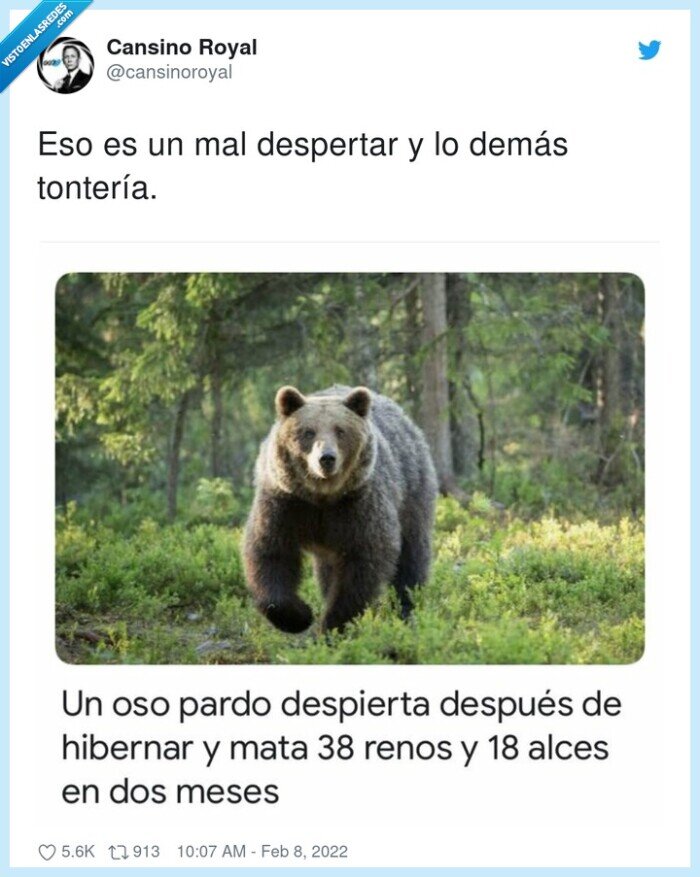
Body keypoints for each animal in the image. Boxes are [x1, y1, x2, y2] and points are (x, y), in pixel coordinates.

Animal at [243, 385, 438, 633]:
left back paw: (406, 606)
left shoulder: (358, 506)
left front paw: (333, 624)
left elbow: (364, 562)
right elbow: (270, 551)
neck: (322, 496)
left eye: (340, 431)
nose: (326, 458)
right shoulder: (286, 503)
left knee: (411, 553)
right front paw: (299, 615)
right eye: (308, 432)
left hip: (412, 490)